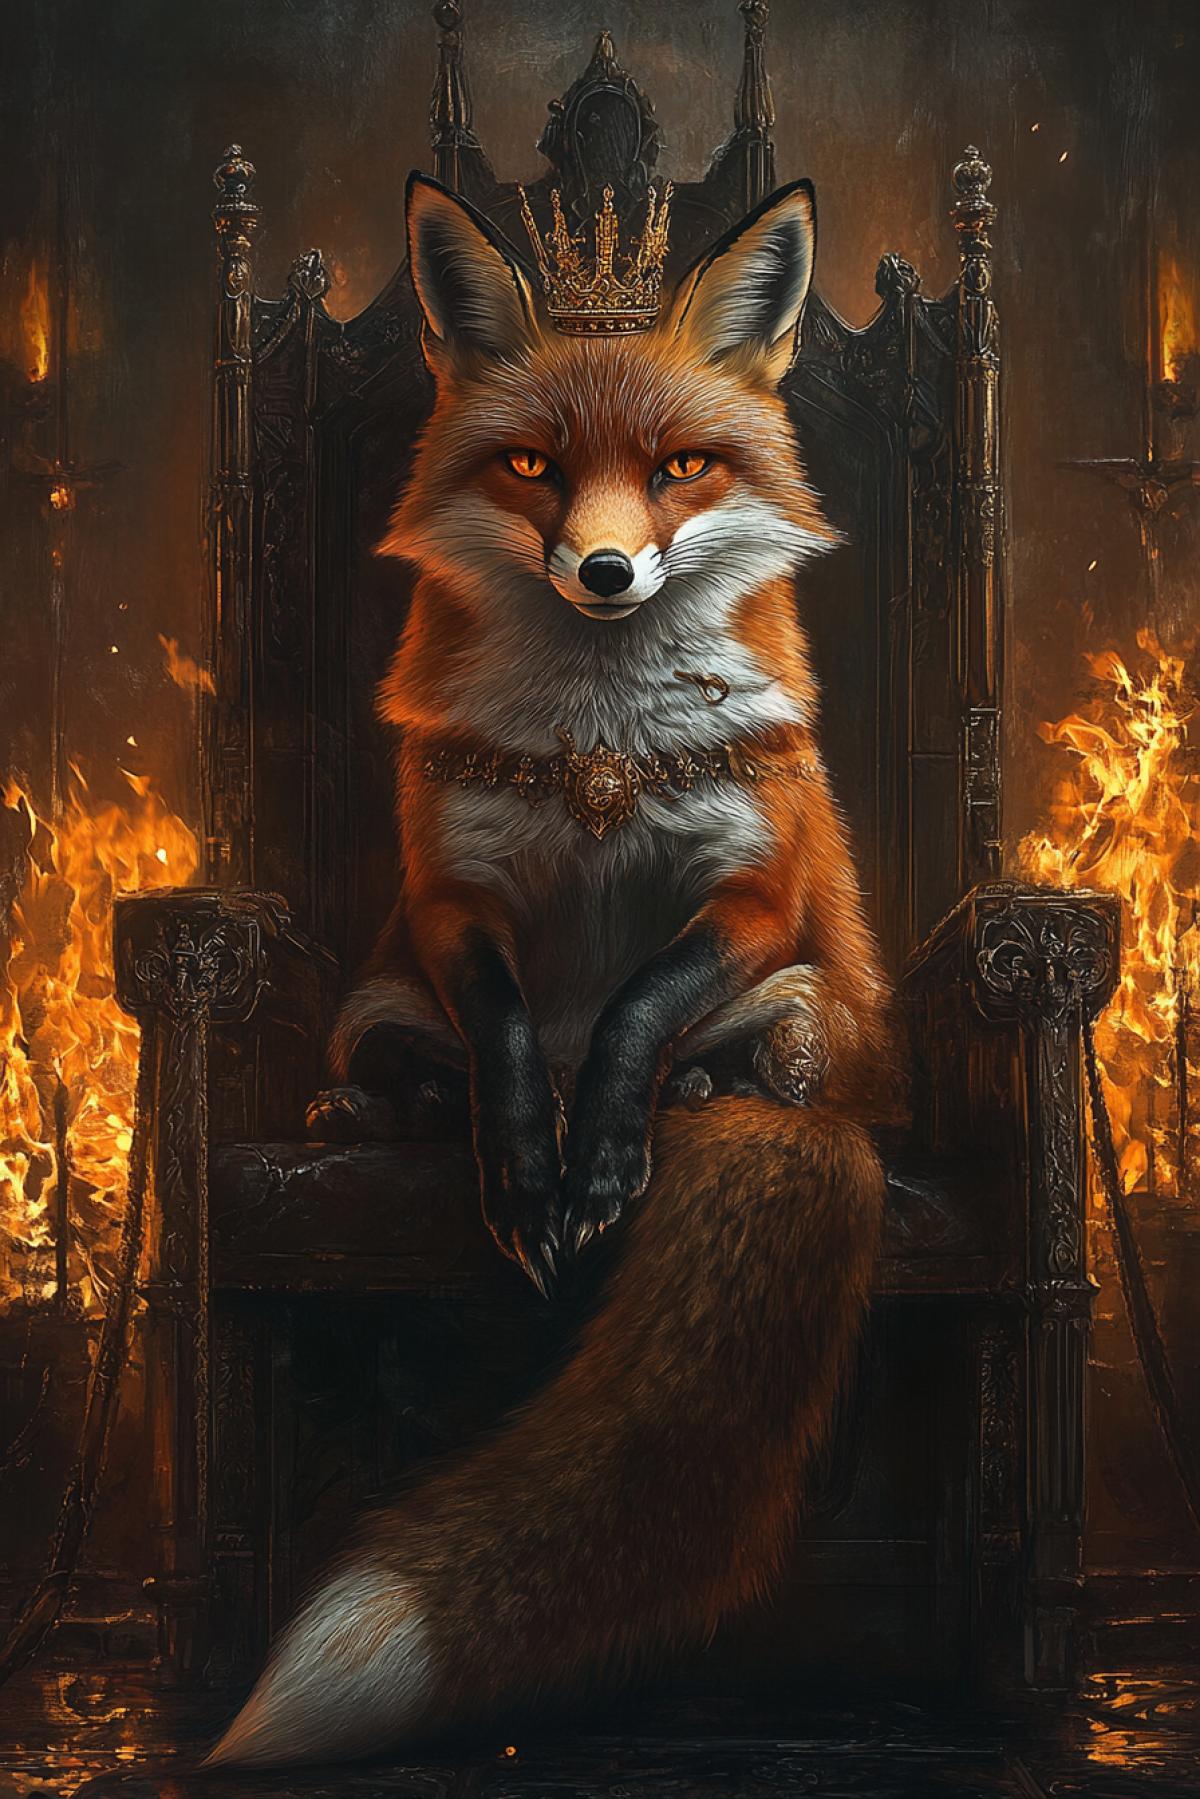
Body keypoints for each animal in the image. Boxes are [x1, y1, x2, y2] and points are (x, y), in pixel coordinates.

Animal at [206, 170, 903, 1769]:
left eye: (679, 469)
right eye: (532, 464)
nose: (601, 569)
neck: (601, 743)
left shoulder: (754, 898)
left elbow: (642, 1004)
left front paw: (604, 1154)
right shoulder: (449, 897)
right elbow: (514, 1033)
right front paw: (531, 1168)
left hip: (812, 1013)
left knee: (751, 1060)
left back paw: (695, 1098)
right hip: (368, 1005)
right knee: (398, 1060)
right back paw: (386, 1114)